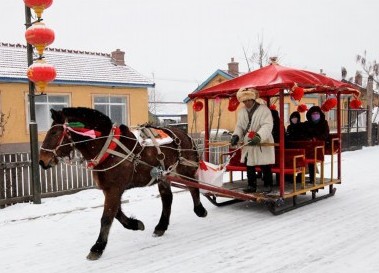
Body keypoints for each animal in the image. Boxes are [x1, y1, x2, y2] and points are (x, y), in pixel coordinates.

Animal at [38, 106, 208, 260]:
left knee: (193, 187)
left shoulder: (114, 189)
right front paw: (135, 224)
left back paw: (200, 210)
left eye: (54, 132)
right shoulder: (110, 189)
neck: (108, 147)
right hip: (164, 175)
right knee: (167, 198)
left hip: (184, 170)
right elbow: (117, 213)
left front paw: (97, 247)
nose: (42, 161)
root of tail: (184, 134)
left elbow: (107, 217)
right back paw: (161, 226)